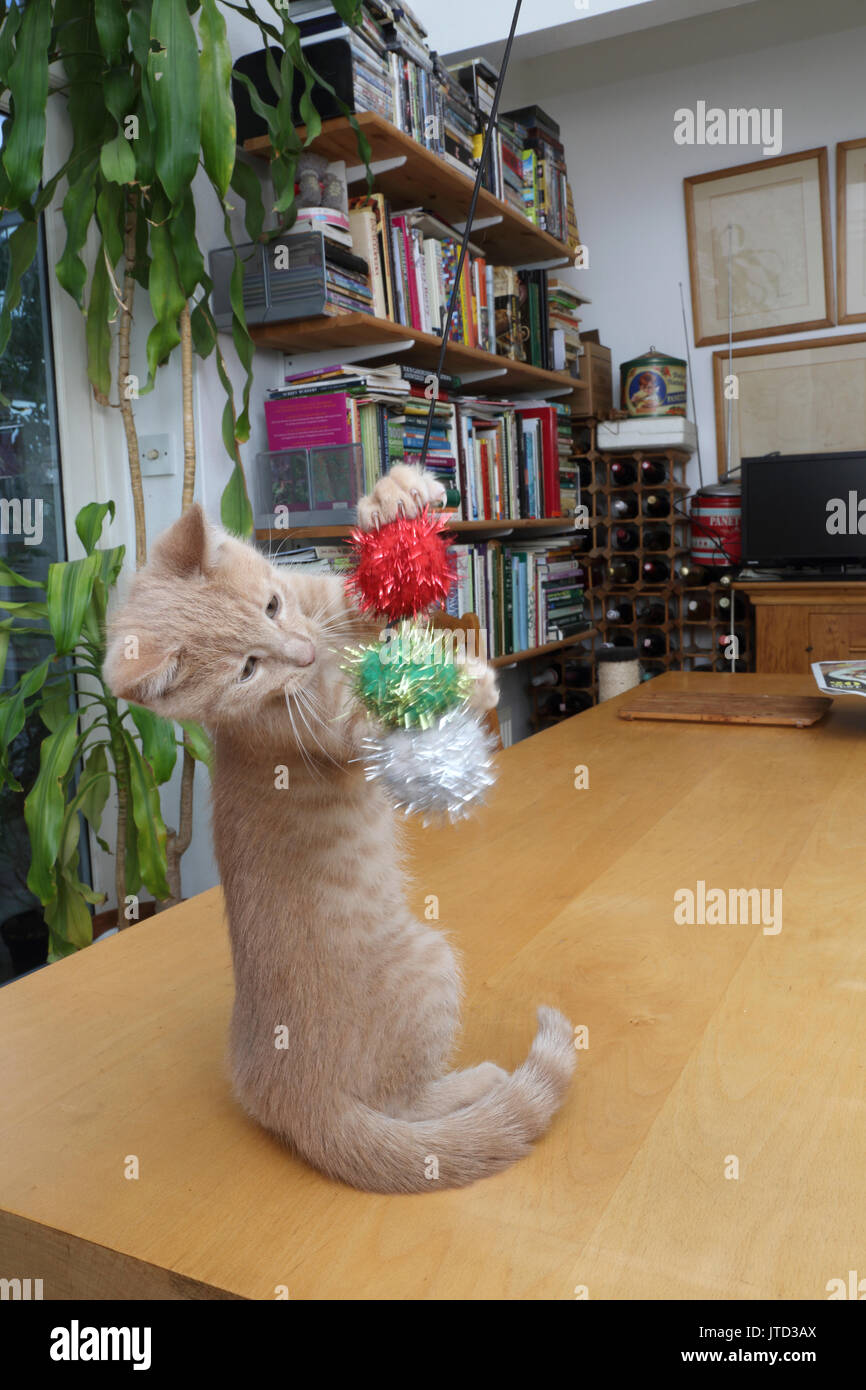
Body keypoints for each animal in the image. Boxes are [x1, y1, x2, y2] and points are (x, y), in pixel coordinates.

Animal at [103, 467, 575, 1195]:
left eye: (272, 605)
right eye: (247, 668)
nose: (300, 653)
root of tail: (290, 1098)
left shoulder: (330, 609)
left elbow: (365, 598)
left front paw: (394, 498)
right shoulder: (337, 733)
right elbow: (377, 716)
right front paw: (458, 680)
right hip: (427, 961)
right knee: (404, 1103)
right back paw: (476, 1085)